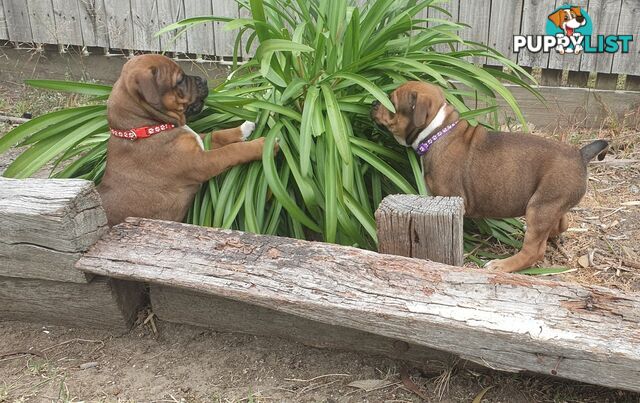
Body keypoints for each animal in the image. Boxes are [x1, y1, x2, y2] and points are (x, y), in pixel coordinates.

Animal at [99, 55, 274, 227]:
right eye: (180, 80)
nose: (203, 80)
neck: (146, 126)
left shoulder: (199, 143)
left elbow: (218, 134)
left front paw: (245, 127)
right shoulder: (201, 162)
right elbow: (231, 151)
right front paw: (261, 145)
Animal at [368, 80, 608, 274]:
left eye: (391, 102)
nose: (372, 103)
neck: (437, 130)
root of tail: (580, 154)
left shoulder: (450, 196)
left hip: (540, 207)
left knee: (533, 250)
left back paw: (502, 265)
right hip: (552, 203)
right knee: (562, 223)